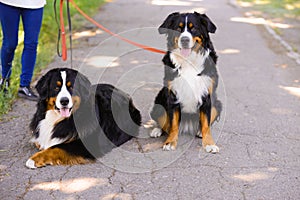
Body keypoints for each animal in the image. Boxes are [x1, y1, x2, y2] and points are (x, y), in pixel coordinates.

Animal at [146, 11, 221, 153]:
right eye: (178, 28)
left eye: (194, 28)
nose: (185, 39)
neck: (189, 61)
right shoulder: (173, 95)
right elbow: (173, 123)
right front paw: (170, 142)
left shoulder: (207, 95)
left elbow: (206, 123)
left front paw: (209, 143)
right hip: (159, 102)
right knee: (164, 123)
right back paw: (157, 130)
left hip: (217, 104)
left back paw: (199, 132)